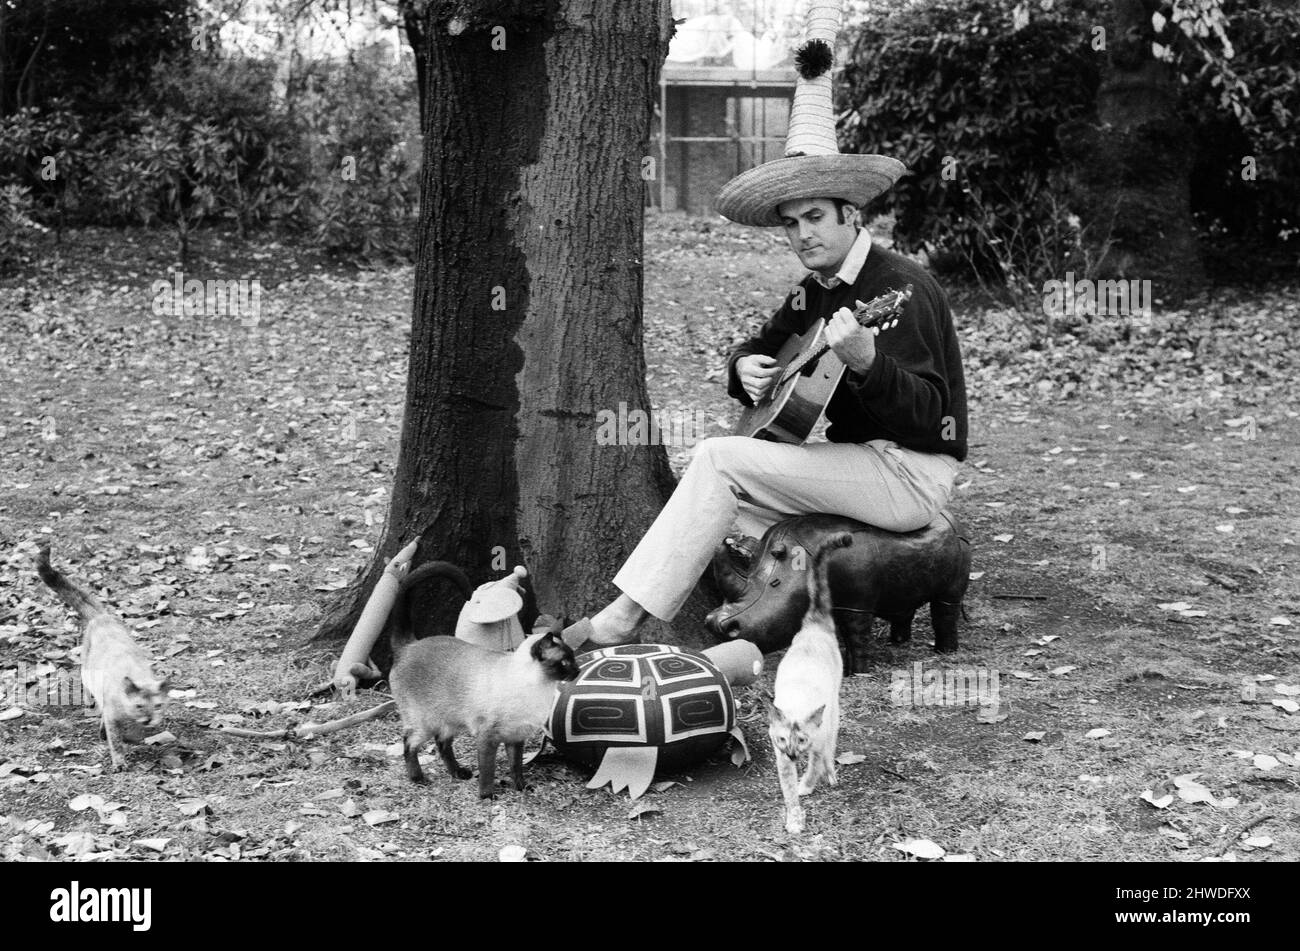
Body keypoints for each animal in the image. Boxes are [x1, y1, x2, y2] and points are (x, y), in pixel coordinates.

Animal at [34, 545, 167, 769]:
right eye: (139, 706)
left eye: (158, 706)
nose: (149, 719)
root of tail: (101, 616)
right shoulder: (112, 717)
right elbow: (115, 741)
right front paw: (120, 762)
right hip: (87, 672)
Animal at [384, 561, 579, 800]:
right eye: (565, 662)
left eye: (573, 658)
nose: (578, 670)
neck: (540, 690)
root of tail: (409, 645)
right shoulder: (488, 738)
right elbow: (488, 770)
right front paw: (487, 796)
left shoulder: (516, 738)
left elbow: (516, 767)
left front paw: (522, 788)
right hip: (424, 723)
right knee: (409, 744)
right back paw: (418, 779)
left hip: (448, 722)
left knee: (442, 744)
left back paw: (458, 773)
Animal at [759, 535, 852, 831]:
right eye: (782, 739)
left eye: (801, 740)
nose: (792, 754)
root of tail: (815, 624)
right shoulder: (780, 759)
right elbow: (788, 791)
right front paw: (794, 820)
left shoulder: (817, 745)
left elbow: (814, 767)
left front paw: (807, 786)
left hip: (834, 710)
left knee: (830, 751)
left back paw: (831, 776)